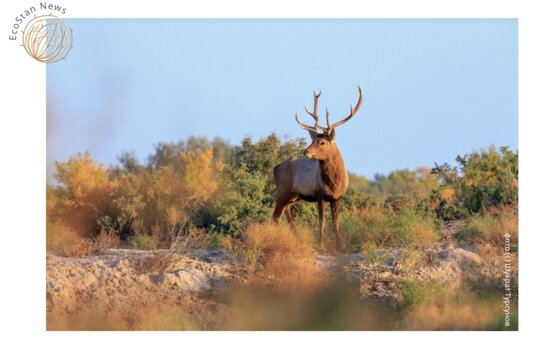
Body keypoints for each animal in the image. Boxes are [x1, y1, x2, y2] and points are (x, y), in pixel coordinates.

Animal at [272, 85, 364, 250]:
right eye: (313, 139)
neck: (334, 183)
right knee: (275, 216)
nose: (306, 151)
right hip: (282, 190)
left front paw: (339, 247)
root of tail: (275, 168)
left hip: (294, 196)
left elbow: (336, 223)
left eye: (322, 142)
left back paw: (294, 236)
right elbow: (322, 221)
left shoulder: (338, 197)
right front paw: (322, 245)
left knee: (285, 212)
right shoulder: (319, 194)